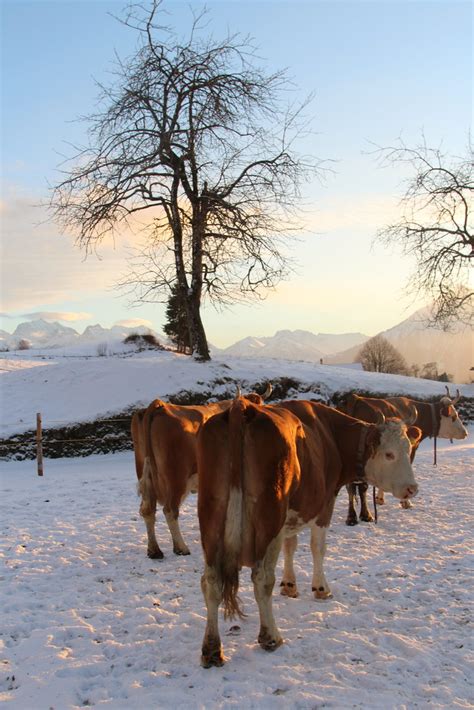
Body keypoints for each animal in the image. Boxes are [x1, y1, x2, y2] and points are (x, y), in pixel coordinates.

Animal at [131, 386, 270, 560]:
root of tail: (159, 405)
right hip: (177, 478)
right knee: (169, 510)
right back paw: (181, 547)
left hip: (146, 474)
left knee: (148, 510)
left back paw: (154, 550)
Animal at [198, 394, 420, 668]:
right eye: (389, 454)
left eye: (408, 449)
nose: (412, 489)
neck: (331, 435)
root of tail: (243, 407)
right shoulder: (324, 505)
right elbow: (317, 548)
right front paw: (321, 588)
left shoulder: (291, 515)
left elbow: (290, 546)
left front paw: (290, 585)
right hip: (268, 518)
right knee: (261, 579)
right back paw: (270, 637)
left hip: (211, 519)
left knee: (211, 581)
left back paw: (211, 648)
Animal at [340, 386, 466, 524]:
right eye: (454, 416)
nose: (465, 433)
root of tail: (356, 398)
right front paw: (405, 501)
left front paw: (379, 498)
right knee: (359, 487)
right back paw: (363, 515)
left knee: (351, 487)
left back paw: (354, 516)